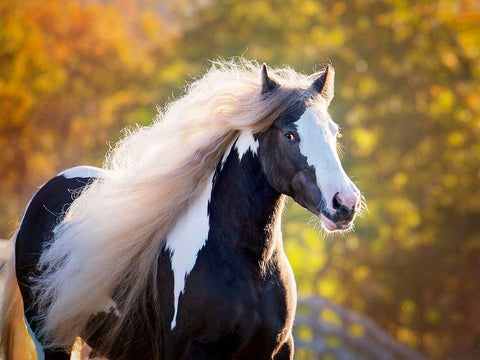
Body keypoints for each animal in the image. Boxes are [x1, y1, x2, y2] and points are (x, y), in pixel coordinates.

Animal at [0, 60, 360, 358]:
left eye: (333, 132)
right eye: (289, 135)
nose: (345, 203)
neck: (249, 265)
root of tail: (46, 194)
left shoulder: (277, 350)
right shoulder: (190, 350)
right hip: (51, 338)